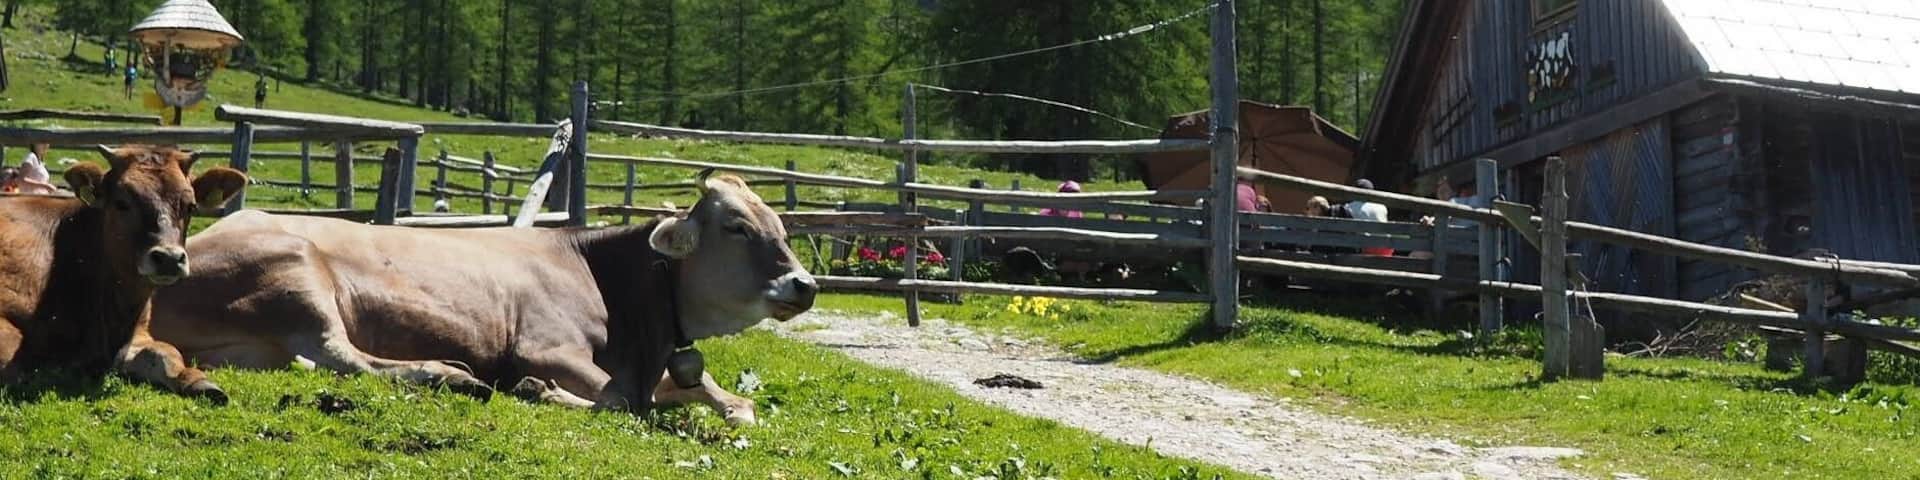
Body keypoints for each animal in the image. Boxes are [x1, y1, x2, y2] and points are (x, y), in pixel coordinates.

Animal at [0, 145, 247, 402]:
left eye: (190, 206)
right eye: (121, 203)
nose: (169, 258)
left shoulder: (136, 333)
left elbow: (165, 351)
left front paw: (198, 380)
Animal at [150, 170, 816, 423]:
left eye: (781, 226)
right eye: (736, 226)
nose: (805, 284)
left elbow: (730, 401)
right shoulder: (547, 346)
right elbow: (618, 398)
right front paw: (537, 391)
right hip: (298, 274)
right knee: (346, 357)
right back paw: (450, 375)